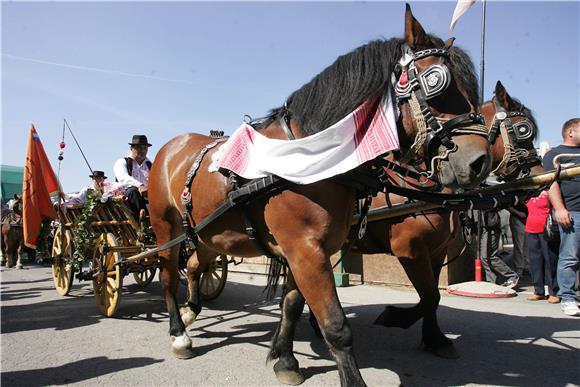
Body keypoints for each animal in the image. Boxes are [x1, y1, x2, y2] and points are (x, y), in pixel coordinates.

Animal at [148, 5, 490, 384]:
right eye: (436, 82)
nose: (479, 162)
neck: (312, 157)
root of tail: (172, 146)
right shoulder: (306, 249)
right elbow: (337, 326)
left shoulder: (309, 250)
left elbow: (292, 304)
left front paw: (285, 359)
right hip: (166, 228)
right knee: (168, 275)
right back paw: (179, 333)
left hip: (210, 233)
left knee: (195, 265)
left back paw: (191, 311)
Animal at [296, 81, 548, 360]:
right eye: (523, 129)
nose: (539, 179)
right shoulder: (410, 249)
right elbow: (429, 297)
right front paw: (395, 317)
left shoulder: (435, 251)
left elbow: (433, 296)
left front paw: (434, 338)